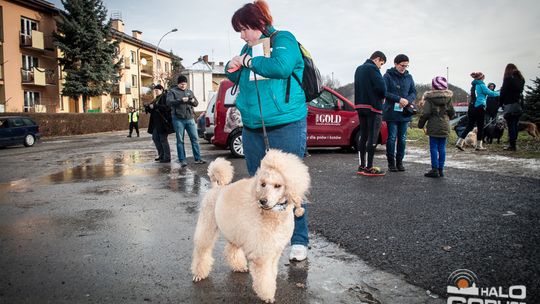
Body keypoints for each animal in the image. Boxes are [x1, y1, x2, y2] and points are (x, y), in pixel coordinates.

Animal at [191, 148, 310, 302]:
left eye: (278, 186)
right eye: (263, 184)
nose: (262, 201)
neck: (273, 215)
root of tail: (216, 187)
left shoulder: (274, 250)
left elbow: (271, 273)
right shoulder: (262, 254)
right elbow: (264, 277)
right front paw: (267, 296)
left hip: (235, 229)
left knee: (231, 248)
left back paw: (239, 266)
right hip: (208, 224)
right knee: (202, 248)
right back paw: (199, 273)